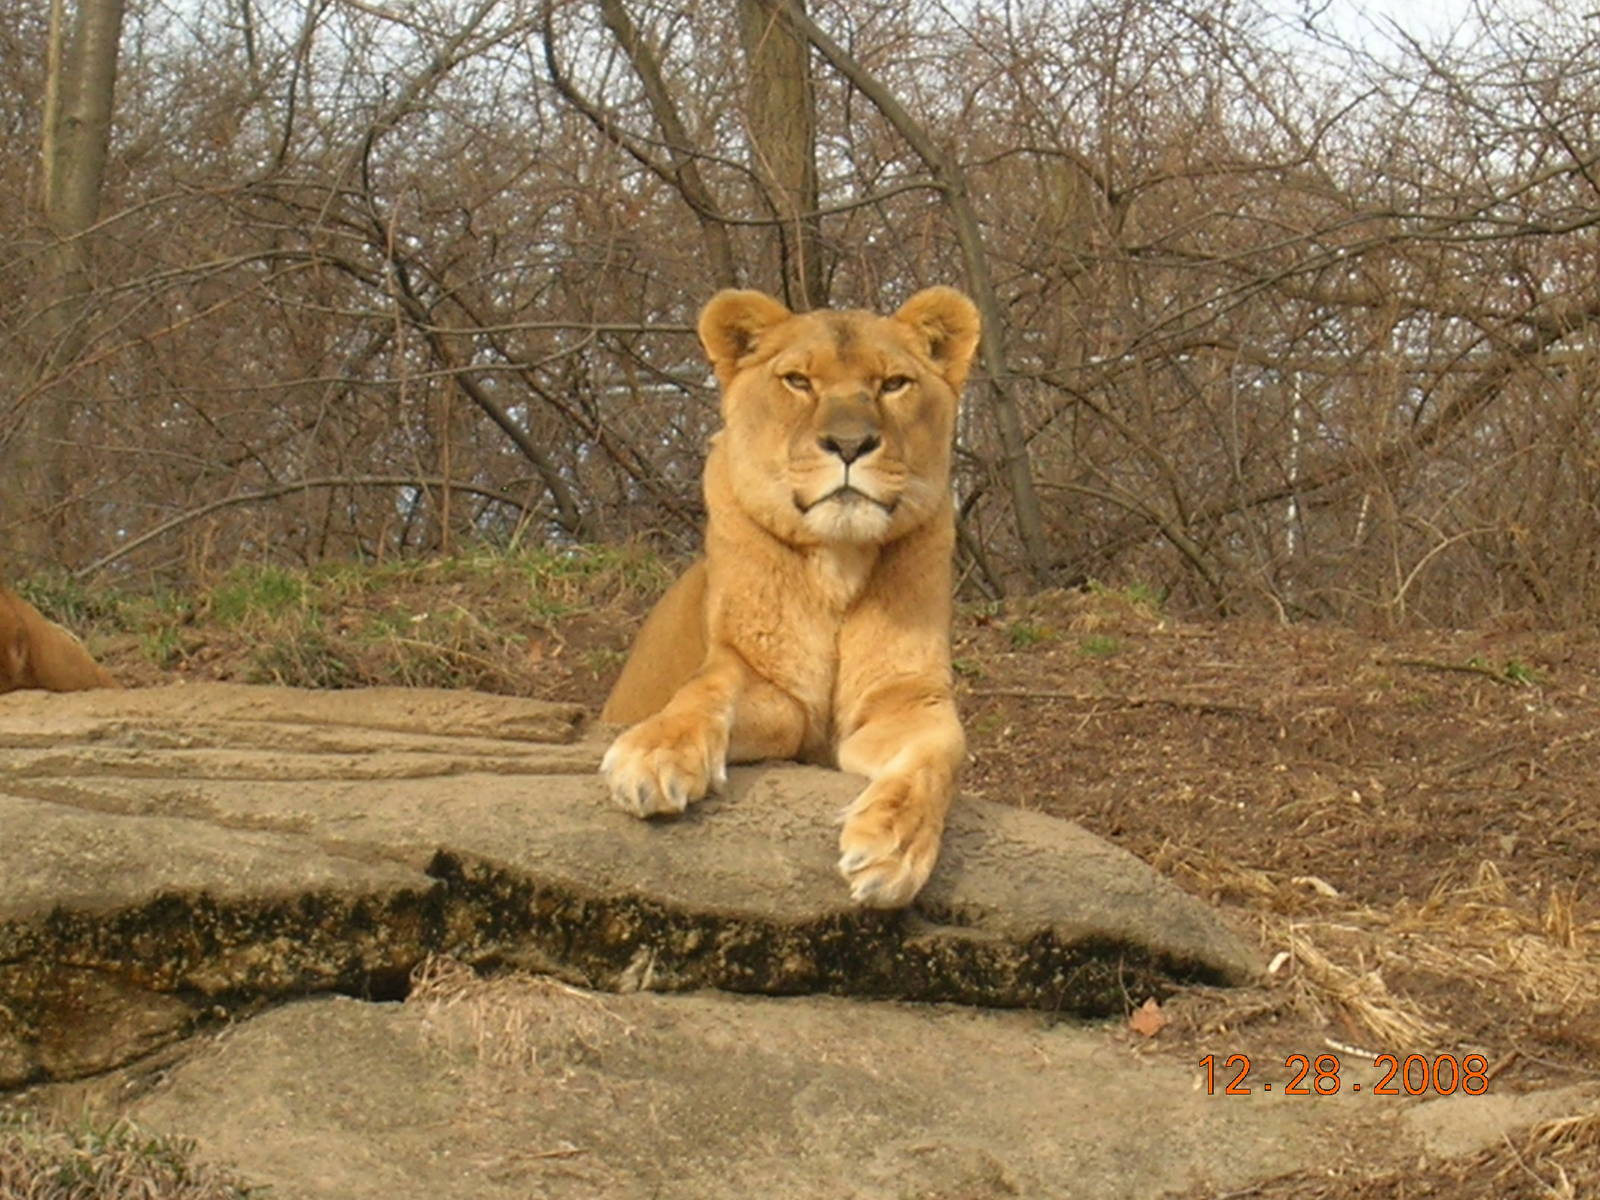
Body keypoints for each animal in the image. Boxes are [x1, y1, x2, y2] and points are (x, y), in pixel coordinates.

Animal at [600, 285, 979, 908]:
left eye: (893, 383)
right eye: (798, 380)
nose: (849, 444)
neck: (839, 564)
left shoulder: (909, 701)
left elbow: (940, 755)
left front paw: (892, 848)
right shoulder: (759, 681)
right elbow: (703, 692)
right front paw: (652, 758)